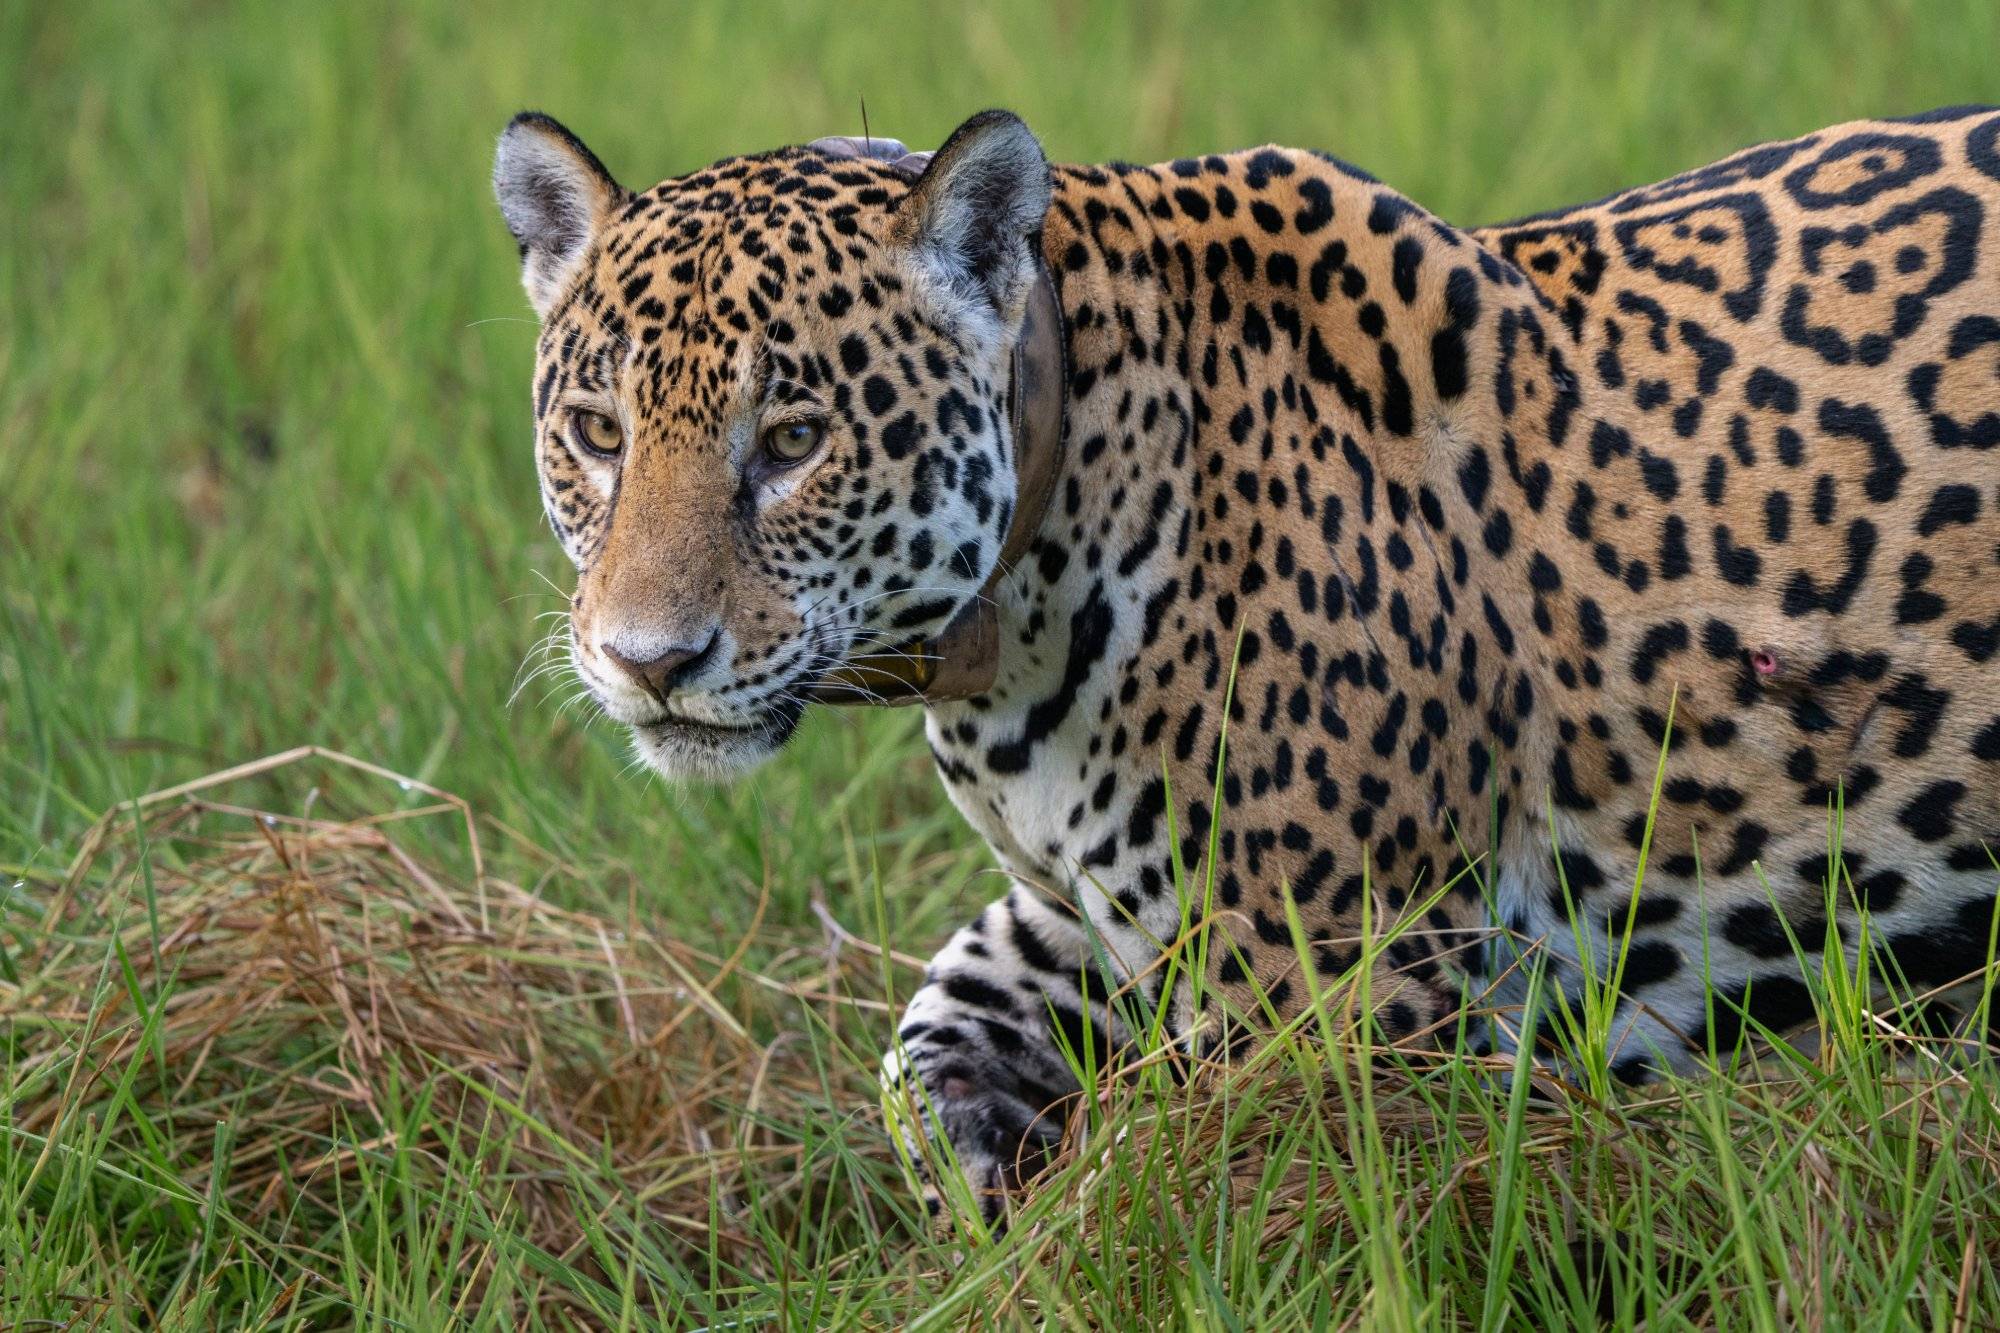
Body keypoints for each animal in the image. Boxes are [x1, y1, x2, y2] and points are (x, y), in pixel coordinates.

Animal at [492, 104, 2000, 1221]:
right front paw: (978, 1165)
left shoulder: (1327, 999)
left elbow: (1174, 1205)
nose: (647, 661)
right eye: (599, 432)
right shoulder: (1101, 905)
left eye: (797, 440)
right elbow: (932, 1019)